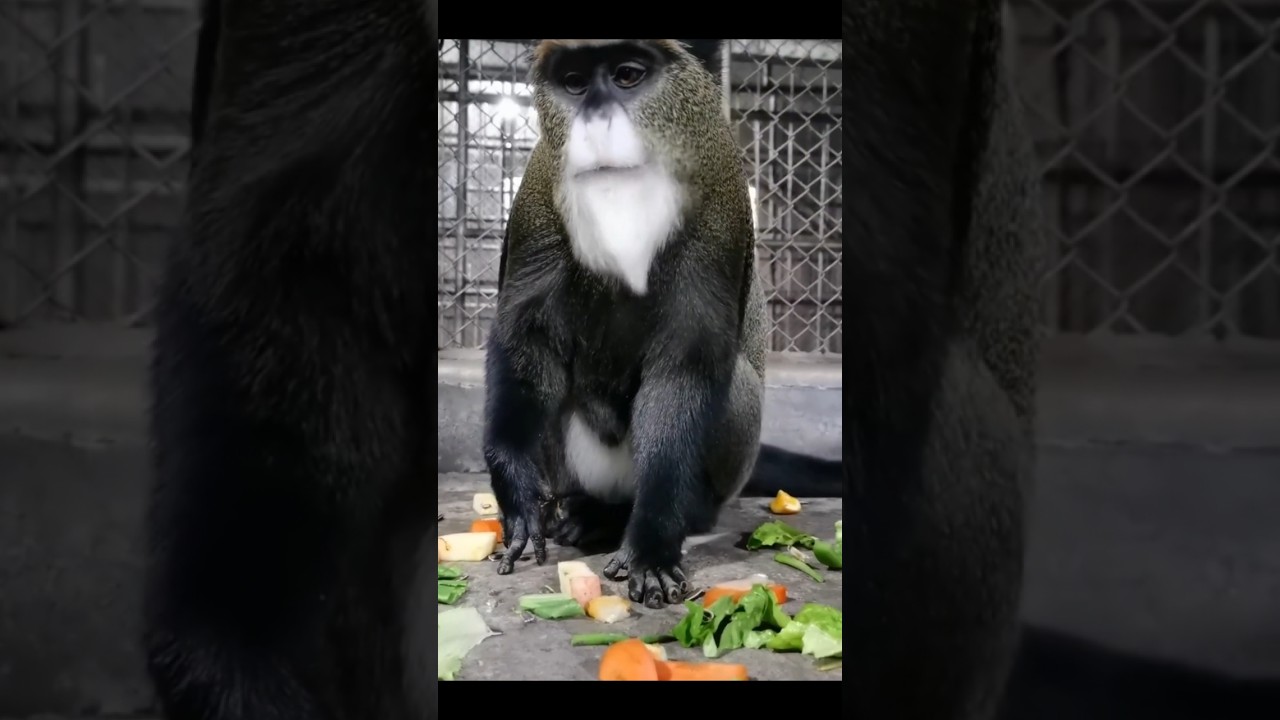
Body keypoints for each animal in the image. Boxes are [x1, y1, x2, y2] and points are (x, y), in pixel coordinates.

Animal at [483, 39, 774, 609]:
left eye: (627, 75)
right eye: (575, 83)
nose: (596, 122)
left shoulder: (721, 203)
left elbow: (687, 361)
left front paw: (653, 547)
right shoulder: (538, 193)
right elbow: (527, 336)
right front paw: (515, 487)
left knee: (735, 381)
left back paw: (623, 516)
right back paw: (581, 512)